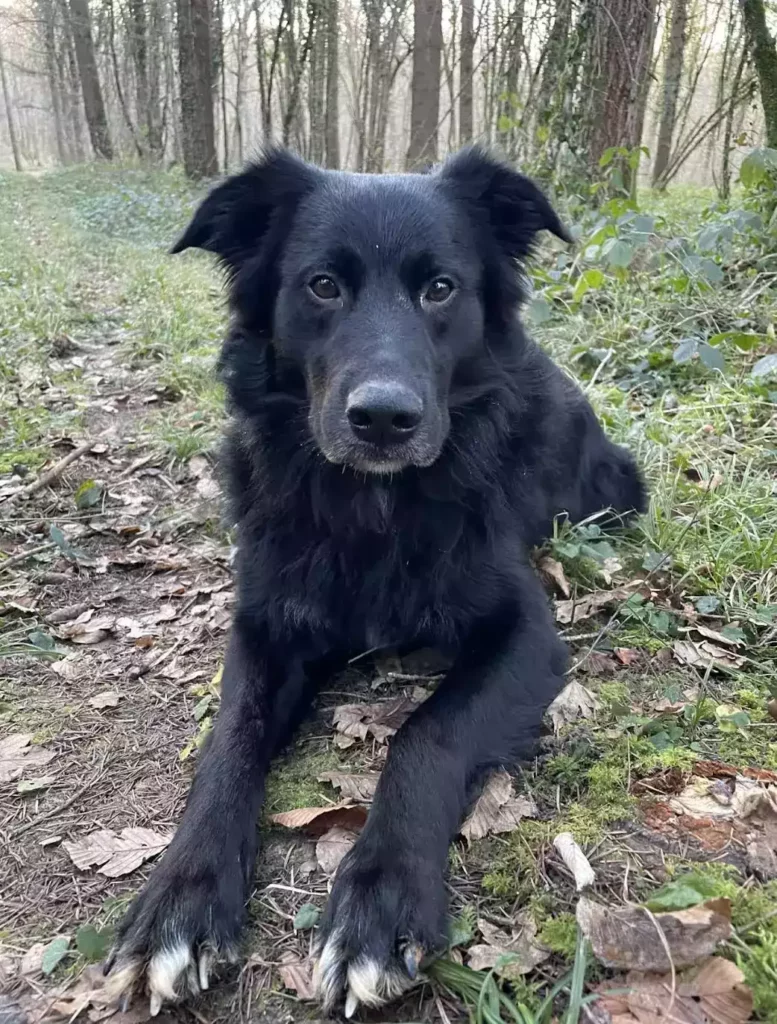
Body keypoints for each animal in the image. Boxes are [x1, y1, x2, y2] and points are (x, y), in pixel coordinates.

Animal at [105, 146, 646, 1017]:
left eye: (440, 288)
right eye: (322, 285)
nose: (385, 419)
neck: (372, 509)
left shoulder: (523, 632)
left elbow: (426, 734)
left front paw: (380, 899)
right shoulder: (265, 623)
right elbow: (229, 741)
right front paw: (180, 899)